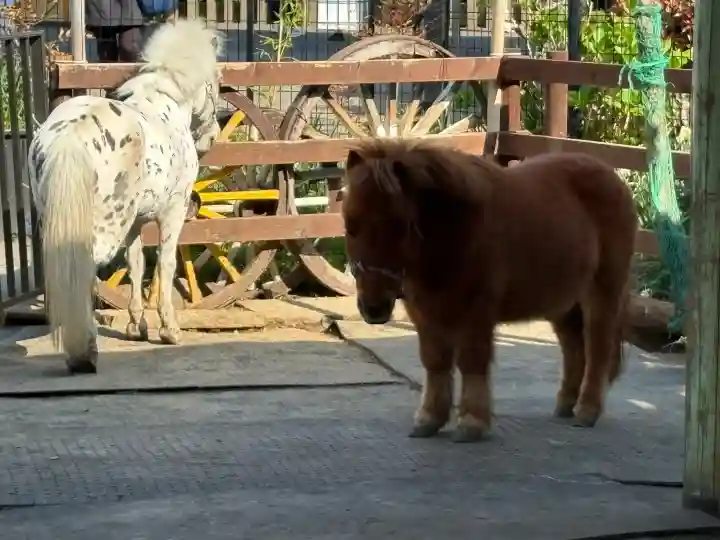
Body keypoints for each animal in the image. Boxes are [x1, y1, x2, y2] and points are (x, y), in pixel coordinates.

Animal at [28, 19, 223, 374]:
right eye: (217, 82)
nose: (211, 137)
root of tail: (69, 134)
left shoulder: (135, 222)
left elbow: (135, 265)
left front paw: (136, 326)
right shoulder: (174, 211)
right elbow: (165, 264)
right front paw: (169, 330)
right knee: (85, 270)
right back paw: (85, 352)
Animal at [342, 139, 637, 443]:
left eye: (401, 226)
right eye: (350, 225)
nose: (373, 307)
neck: (456, 228)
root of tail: (611, 176)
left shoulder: (476, 311)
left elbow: (472, 360)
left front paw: (472, 422)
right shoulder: (425, 312)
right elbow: (435, 361)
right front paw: (429, 419)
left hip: (603, 291)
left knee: (598, 347)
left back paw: (587, 410)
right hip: (563, 303)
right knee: (573, 348)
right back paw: (566, 404)